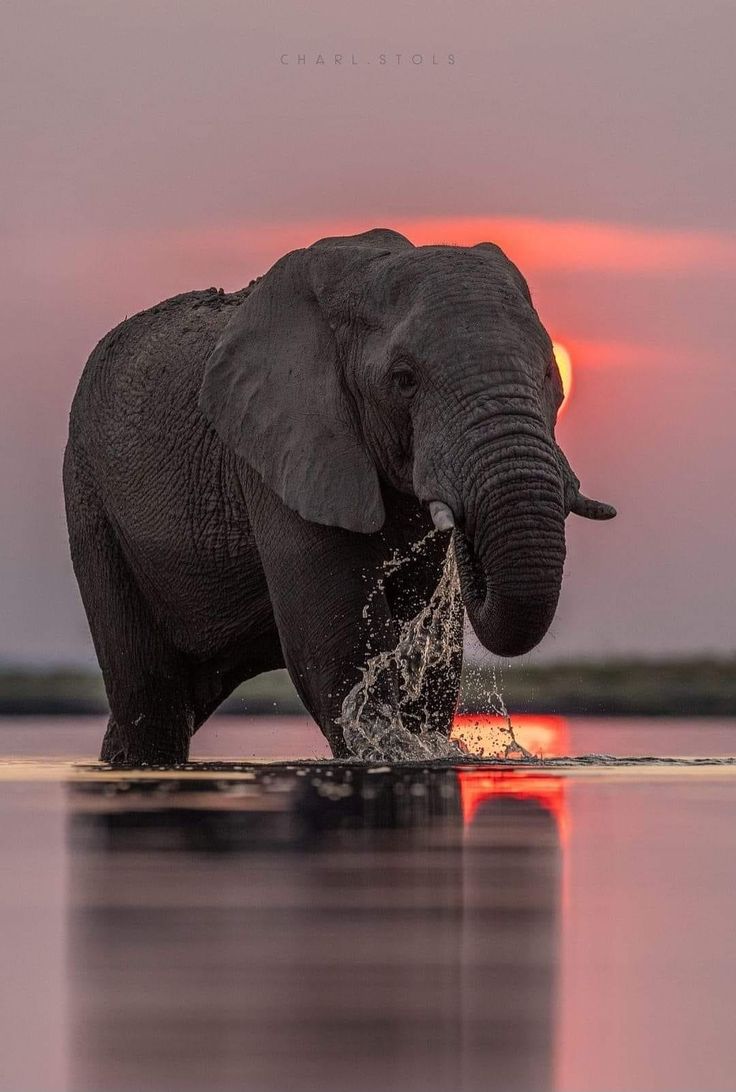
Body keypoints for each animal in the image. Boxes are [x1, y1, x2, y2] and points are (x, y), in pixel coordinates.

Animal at [61, 226, 611, 764]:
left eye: (549, 373)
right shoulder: (281, 454)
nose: (466, 534)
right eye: (404, 379)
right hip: (90, 498)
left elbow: (428, 654)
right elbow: (338, 644)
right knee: (150, 696)